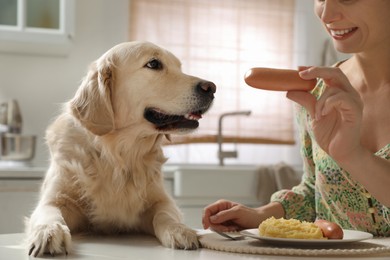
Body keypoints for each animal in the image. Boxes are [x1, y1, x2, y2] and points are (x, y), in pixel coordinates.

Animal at [25, 41, 216, 256]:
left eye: (179, 67)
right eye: (153, 64)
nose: (211, 88)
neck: (118, 156)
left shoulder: (161, 200)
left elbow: (165, 214)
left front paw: (179, 230)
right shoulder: (55, 199)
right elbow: (49, 213)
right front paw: (49, 232)